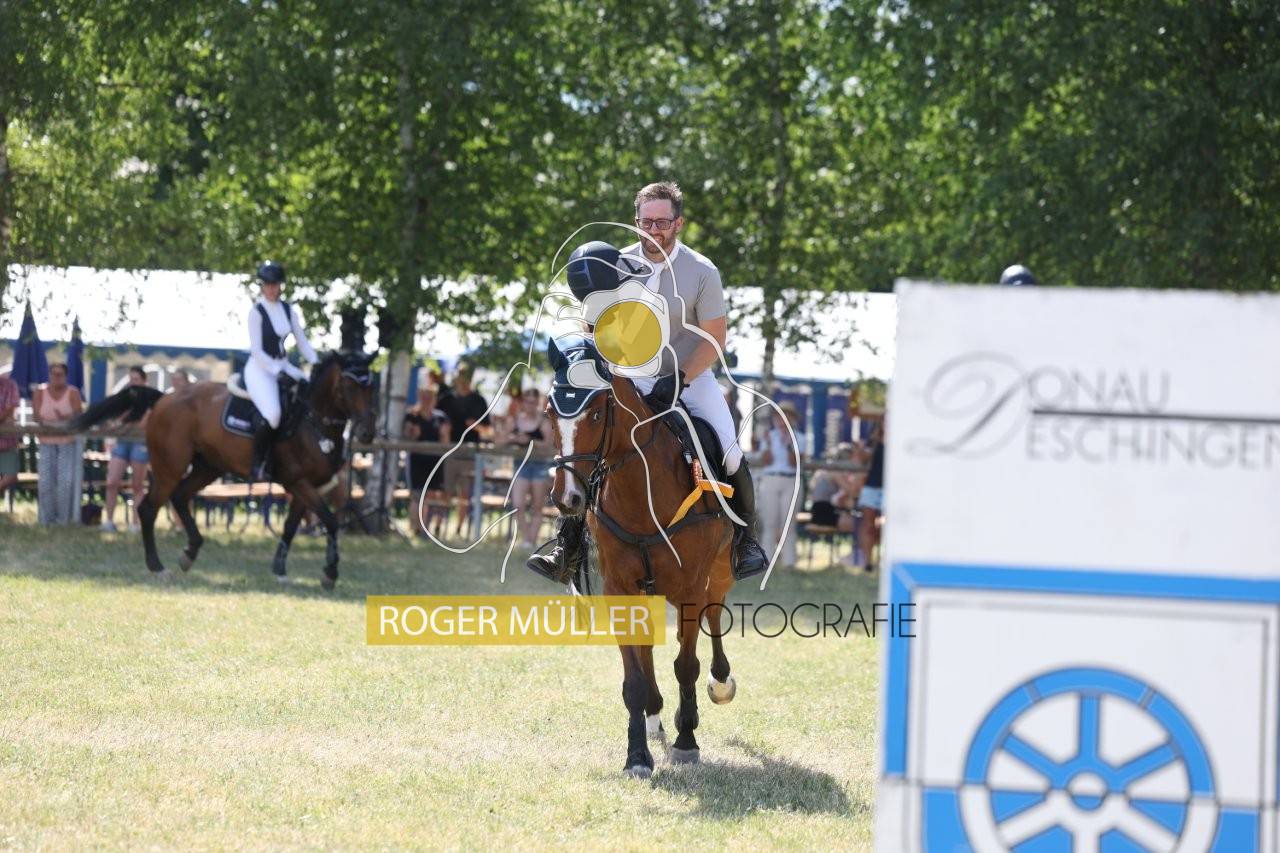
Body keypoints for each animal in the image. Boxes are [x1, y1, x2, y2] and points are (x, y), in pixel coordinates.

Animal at [73, 351, 377, 588]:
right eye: (348, 386)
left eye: (371, 387)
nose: (367, 433)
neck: (313, 423)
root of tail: (164, 398)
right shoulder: (297, 482)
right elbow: (331, 521)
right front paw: (330, 573)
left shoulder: (309, 486)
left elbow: (292, 526)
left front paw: (280, 570)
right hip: (170, 467)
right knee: (149, 508)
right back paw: (158, 567)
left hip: (209, 467)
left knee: (180, 497)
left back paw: (189, 552)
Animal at [547, 350, 739, 778]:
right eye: (550, 412)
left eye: (597, 413)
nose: (567, 498)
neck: (642, 493)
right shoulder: (618, 587)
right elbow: (633, 676)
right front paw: (637, 756)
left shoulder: (690, 586)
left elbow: (686, 664)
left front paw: (687, 741)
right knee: (650, 644)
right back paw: (654, 714)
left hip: (718, 572)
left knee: (714, 613)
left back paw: (720, 683)